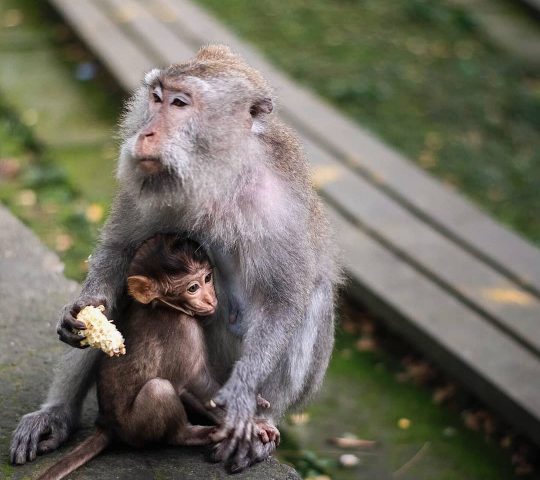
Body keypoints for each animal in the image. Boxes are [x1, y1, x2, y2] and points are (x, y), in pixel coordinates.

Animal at [38, 236, 274, 480]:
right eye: (193, 288)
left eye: (208, 278)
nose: (210, 299)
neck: (167, 306)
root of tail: (107, 425)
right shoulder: (184, 329)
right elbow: (195, 380)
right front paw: (250, 421)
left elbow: (189, 388)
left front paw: (249, 401)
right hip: (134, 426)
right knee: (158, 390)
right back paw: (192, 434)